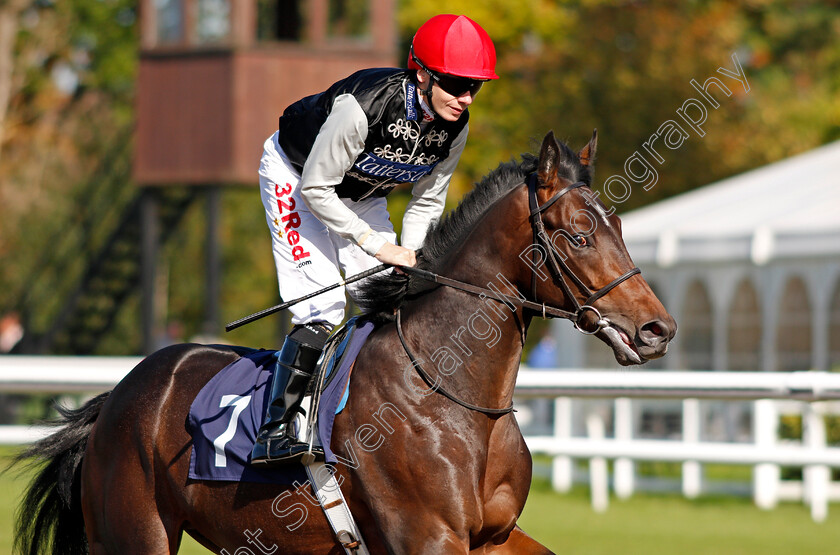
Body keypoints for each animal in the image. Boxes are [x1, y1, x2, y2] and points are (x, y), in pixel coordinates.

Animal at [16, 132, 676, 552]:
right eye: (579, 235)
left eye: (619, 226)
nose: (657, 329)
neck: (451, 394)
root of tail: (117, 397)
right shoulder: (428, 538)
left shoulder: (494, 535)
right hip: (136, 533)